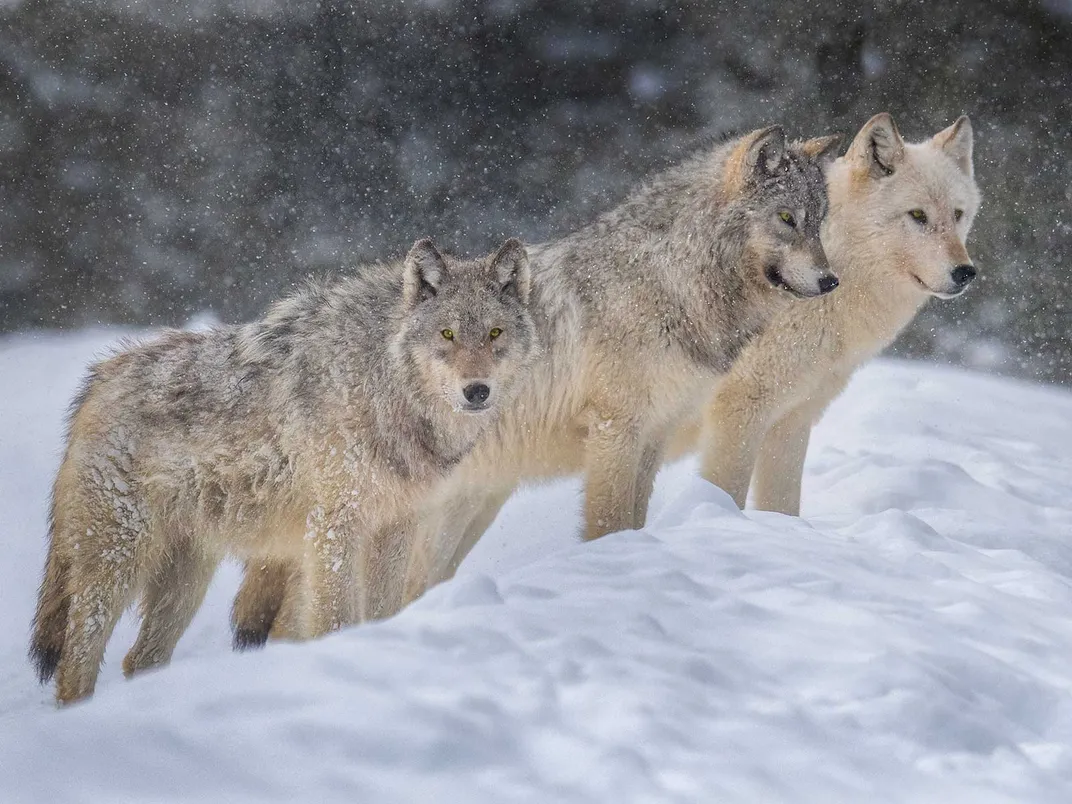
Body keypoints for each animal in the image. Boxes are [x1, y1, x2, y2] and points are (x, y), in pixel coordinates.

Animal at [29, 237, 540, 703]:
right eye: (448, 335)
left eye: (495, 334)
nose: (477, 391)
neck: (381, 384)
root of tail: (98, 379)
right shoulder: (333, 529)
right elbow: (333, 618)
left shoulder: (396, 527)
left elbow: (382, 609)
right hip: (118, 565)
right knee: (75, 668)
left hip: (186, 580)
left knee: (139, 659)